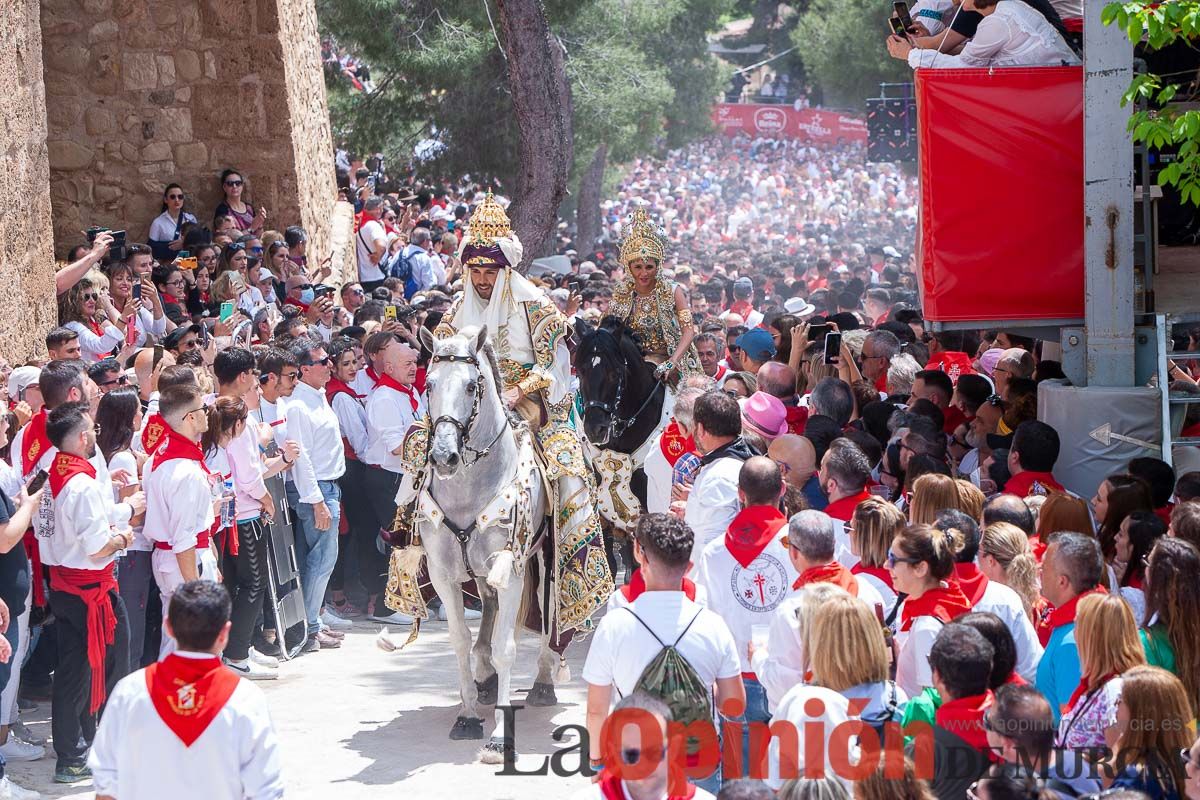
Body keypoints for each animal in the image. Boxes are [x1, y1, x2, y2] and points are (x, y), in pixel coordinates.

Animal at [415, 326, 559, 762]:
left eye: (470, 385)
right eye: (428, 384)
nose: (444, 455)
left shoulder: (510, 570)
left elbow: (505, 647)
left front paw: (498, 736)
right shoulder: (444, 575)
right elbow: (460, 641)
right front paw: (466, 716)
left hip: (541, 563)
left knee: (546, 618)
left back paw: (543, 680)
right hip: (478, 575)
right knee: (489, 613)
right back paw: (485, 680)